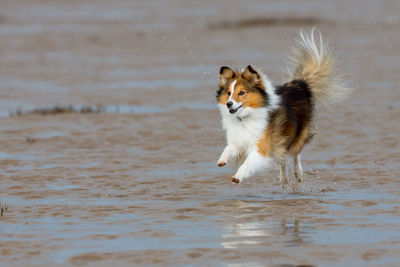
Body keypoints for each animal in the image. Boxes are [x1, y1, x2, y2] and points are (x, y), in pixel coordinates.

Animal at [216, 28, 350, 185]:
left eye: (241, 93)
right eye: (229, 93)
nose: (228, 104)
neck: (245, 118)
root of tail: (299, 84)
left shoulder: (261, 148)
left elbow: (247, 163)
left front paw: (237, 176)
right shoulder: (238, 140)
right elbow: (228, 148)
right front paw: (222, 160)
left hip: (296, 136)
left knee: (295, 154)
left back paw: (298, 174)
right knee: (283, 159)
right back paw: (284, 179)